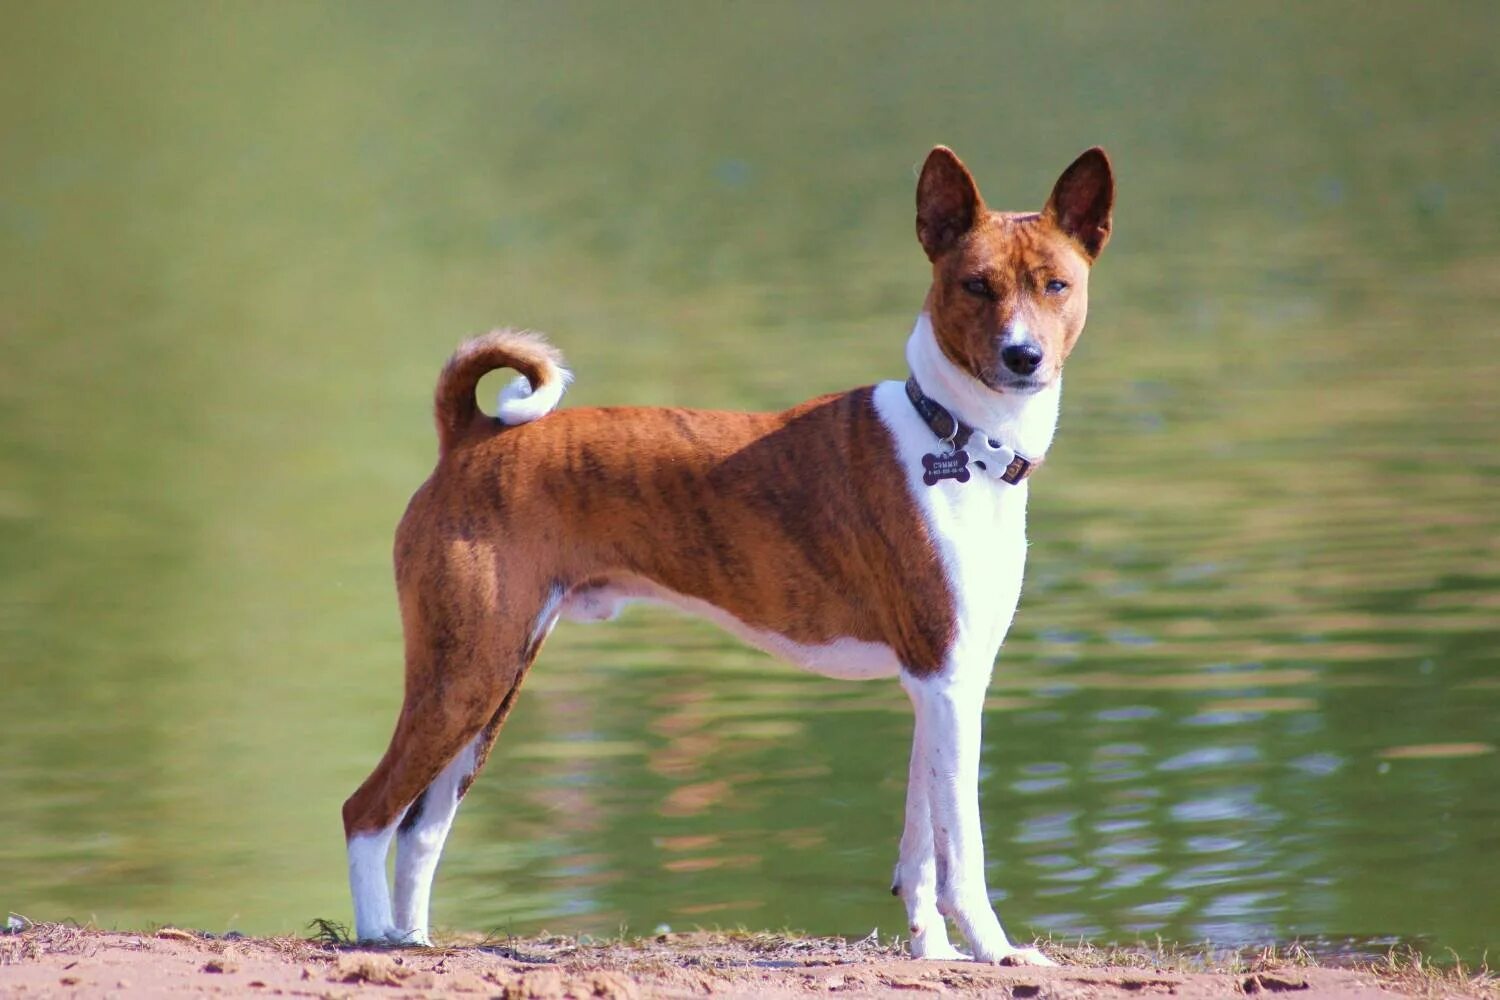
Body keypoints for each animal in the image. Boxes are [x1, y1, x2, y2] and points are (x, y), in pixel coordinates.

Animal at [343, 144, 1116, 965]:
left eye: (1056, 285)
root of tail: (470, 436)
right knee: (368, 811)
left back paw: (411, 942)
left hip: (490, 683)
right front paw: (996, 952)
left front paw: (932, 952)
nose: (1023, 356)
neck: (957, 439)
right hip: (465, 673)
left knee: (423, 828)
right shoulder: (948, 681)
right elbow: (961, 853)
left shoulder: (938, 684)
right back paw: (372, 939)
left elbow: (920, 851)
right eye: (976, 285)